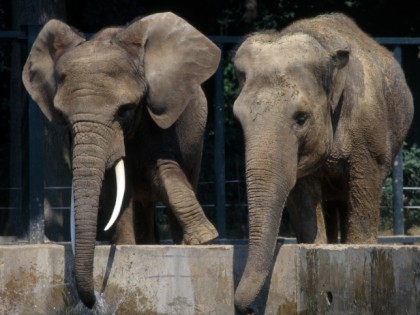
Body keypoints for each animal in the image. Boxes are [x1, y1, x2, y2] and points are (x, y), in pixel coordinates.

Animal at [22, 11, 220, 308]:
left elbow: (163, 171)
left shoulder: (159, 116)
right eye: (63, 117)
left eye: (125, 111)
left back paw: (183, 243)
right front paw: (128, 246)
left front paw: (207, 238)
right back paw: (148, 246)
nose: (93, 300)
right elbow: (116, 187)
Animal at [233, 12, 414, 314]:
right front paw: (315, 246)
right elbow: (304, 199)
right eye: (237, 119)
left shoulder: (368, 131)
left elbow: (364, 188)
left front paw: (357, 249)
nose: (246, 308)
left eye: (301, 117)